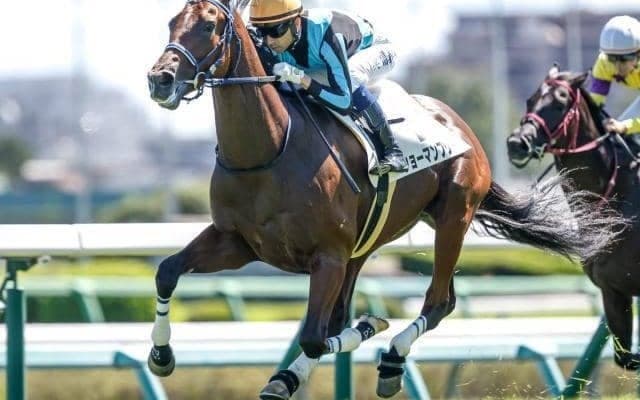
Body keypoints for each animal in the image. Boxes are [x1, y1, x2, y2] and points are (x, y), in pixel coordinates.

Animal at [146, 2, 624, 398]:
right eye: (171, 21)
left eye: (209, 25)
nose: (160, 79)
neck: (269, 150)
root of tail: (459, 124)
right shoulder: (239, 242)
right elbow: (167, 271)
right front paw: (161, 355)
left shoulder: (328, 256)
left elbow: (315, 337)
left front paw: (370, 323)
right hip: (368, 243)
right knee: (368, 309)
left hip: (453, 217)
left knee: (437, 302)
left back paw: (390, 357)